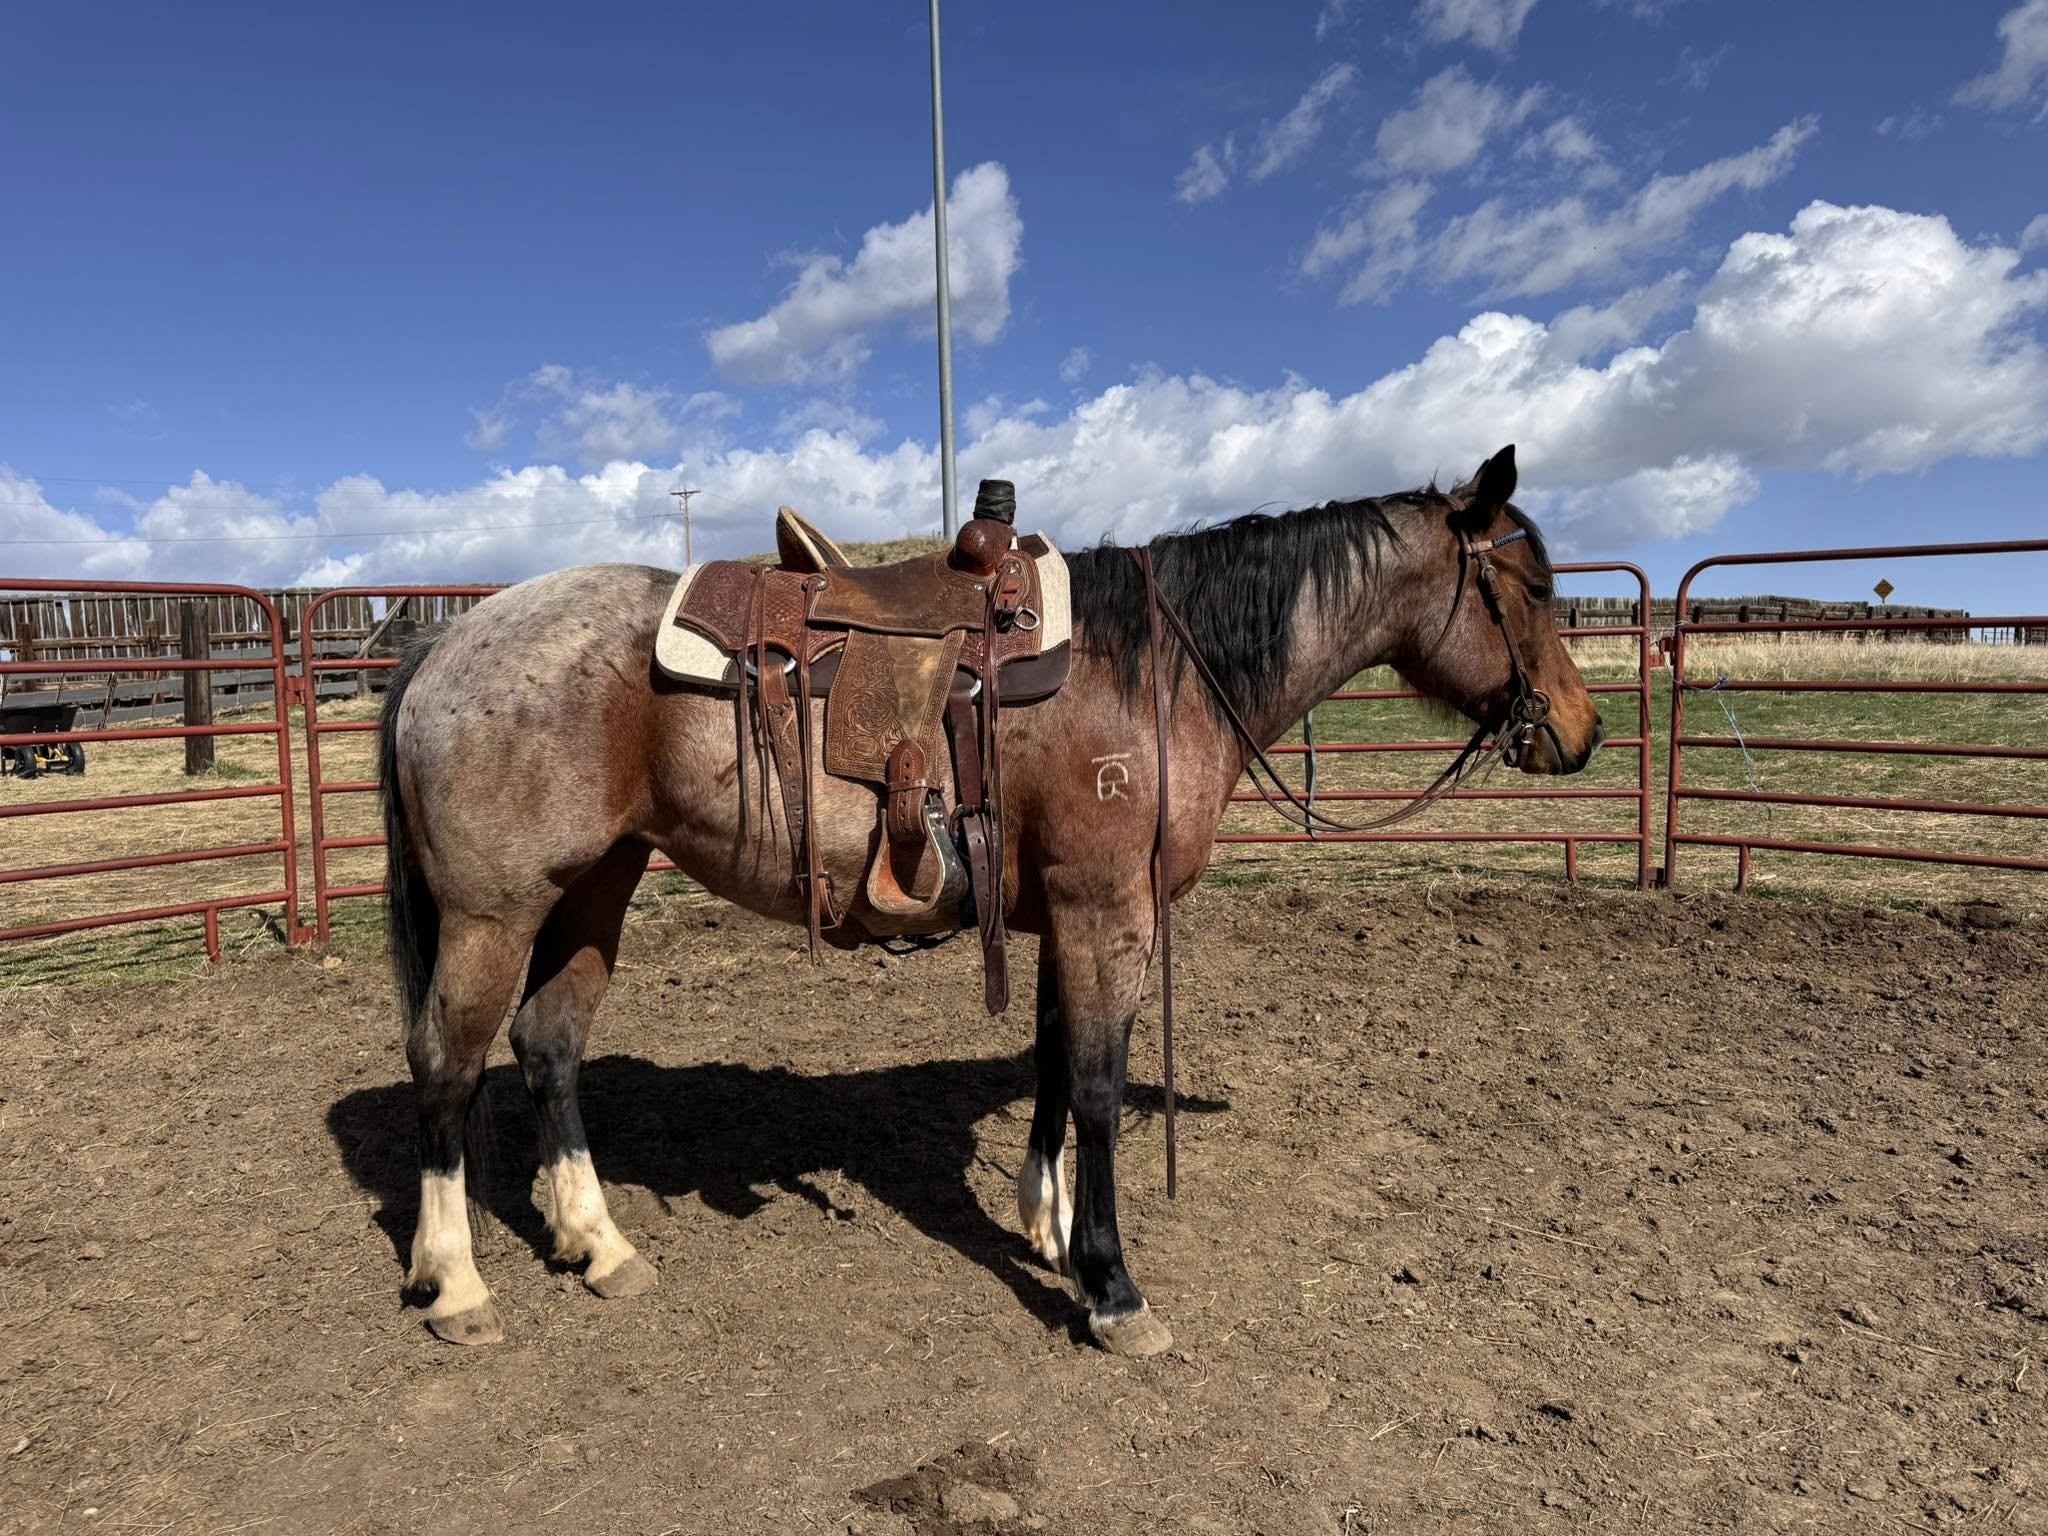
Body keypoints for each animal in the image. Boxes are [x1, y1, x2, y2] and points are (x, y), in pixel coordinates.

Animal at [376, 444, 1603, 1357]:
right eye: (1535, 589)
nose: (1581, 734)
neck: (1154, 671)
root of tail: (451, 637)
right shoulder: (1104, 909)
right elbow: (1098, 1087)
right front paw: (1111, 1286)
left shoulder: (1064, 912)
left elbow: (1054, 1062)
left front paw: (1048, 1227)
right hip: (494, 912)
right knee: (445, 1064)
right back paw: (457, 1284)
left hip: (596, 886)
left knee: (548, 1045)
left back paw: (597, 1245)